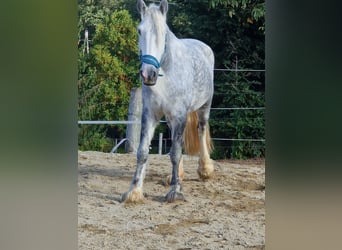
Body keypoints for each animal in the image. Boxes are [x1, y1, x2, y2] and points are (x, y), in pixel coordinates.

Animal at [122, 0, 214, 203]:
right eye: (139, 30)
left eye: (163, 33)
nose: (148, 74)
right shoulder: (151, 115)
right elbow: (143, 152)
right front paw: (134, 191)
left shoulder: (180, 115)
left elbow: (175, 153)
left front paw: (175, 191)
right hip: (172, 119)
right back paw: (178, 174)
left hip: (204, 107)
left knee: (201, 130)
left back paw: (205, 170)